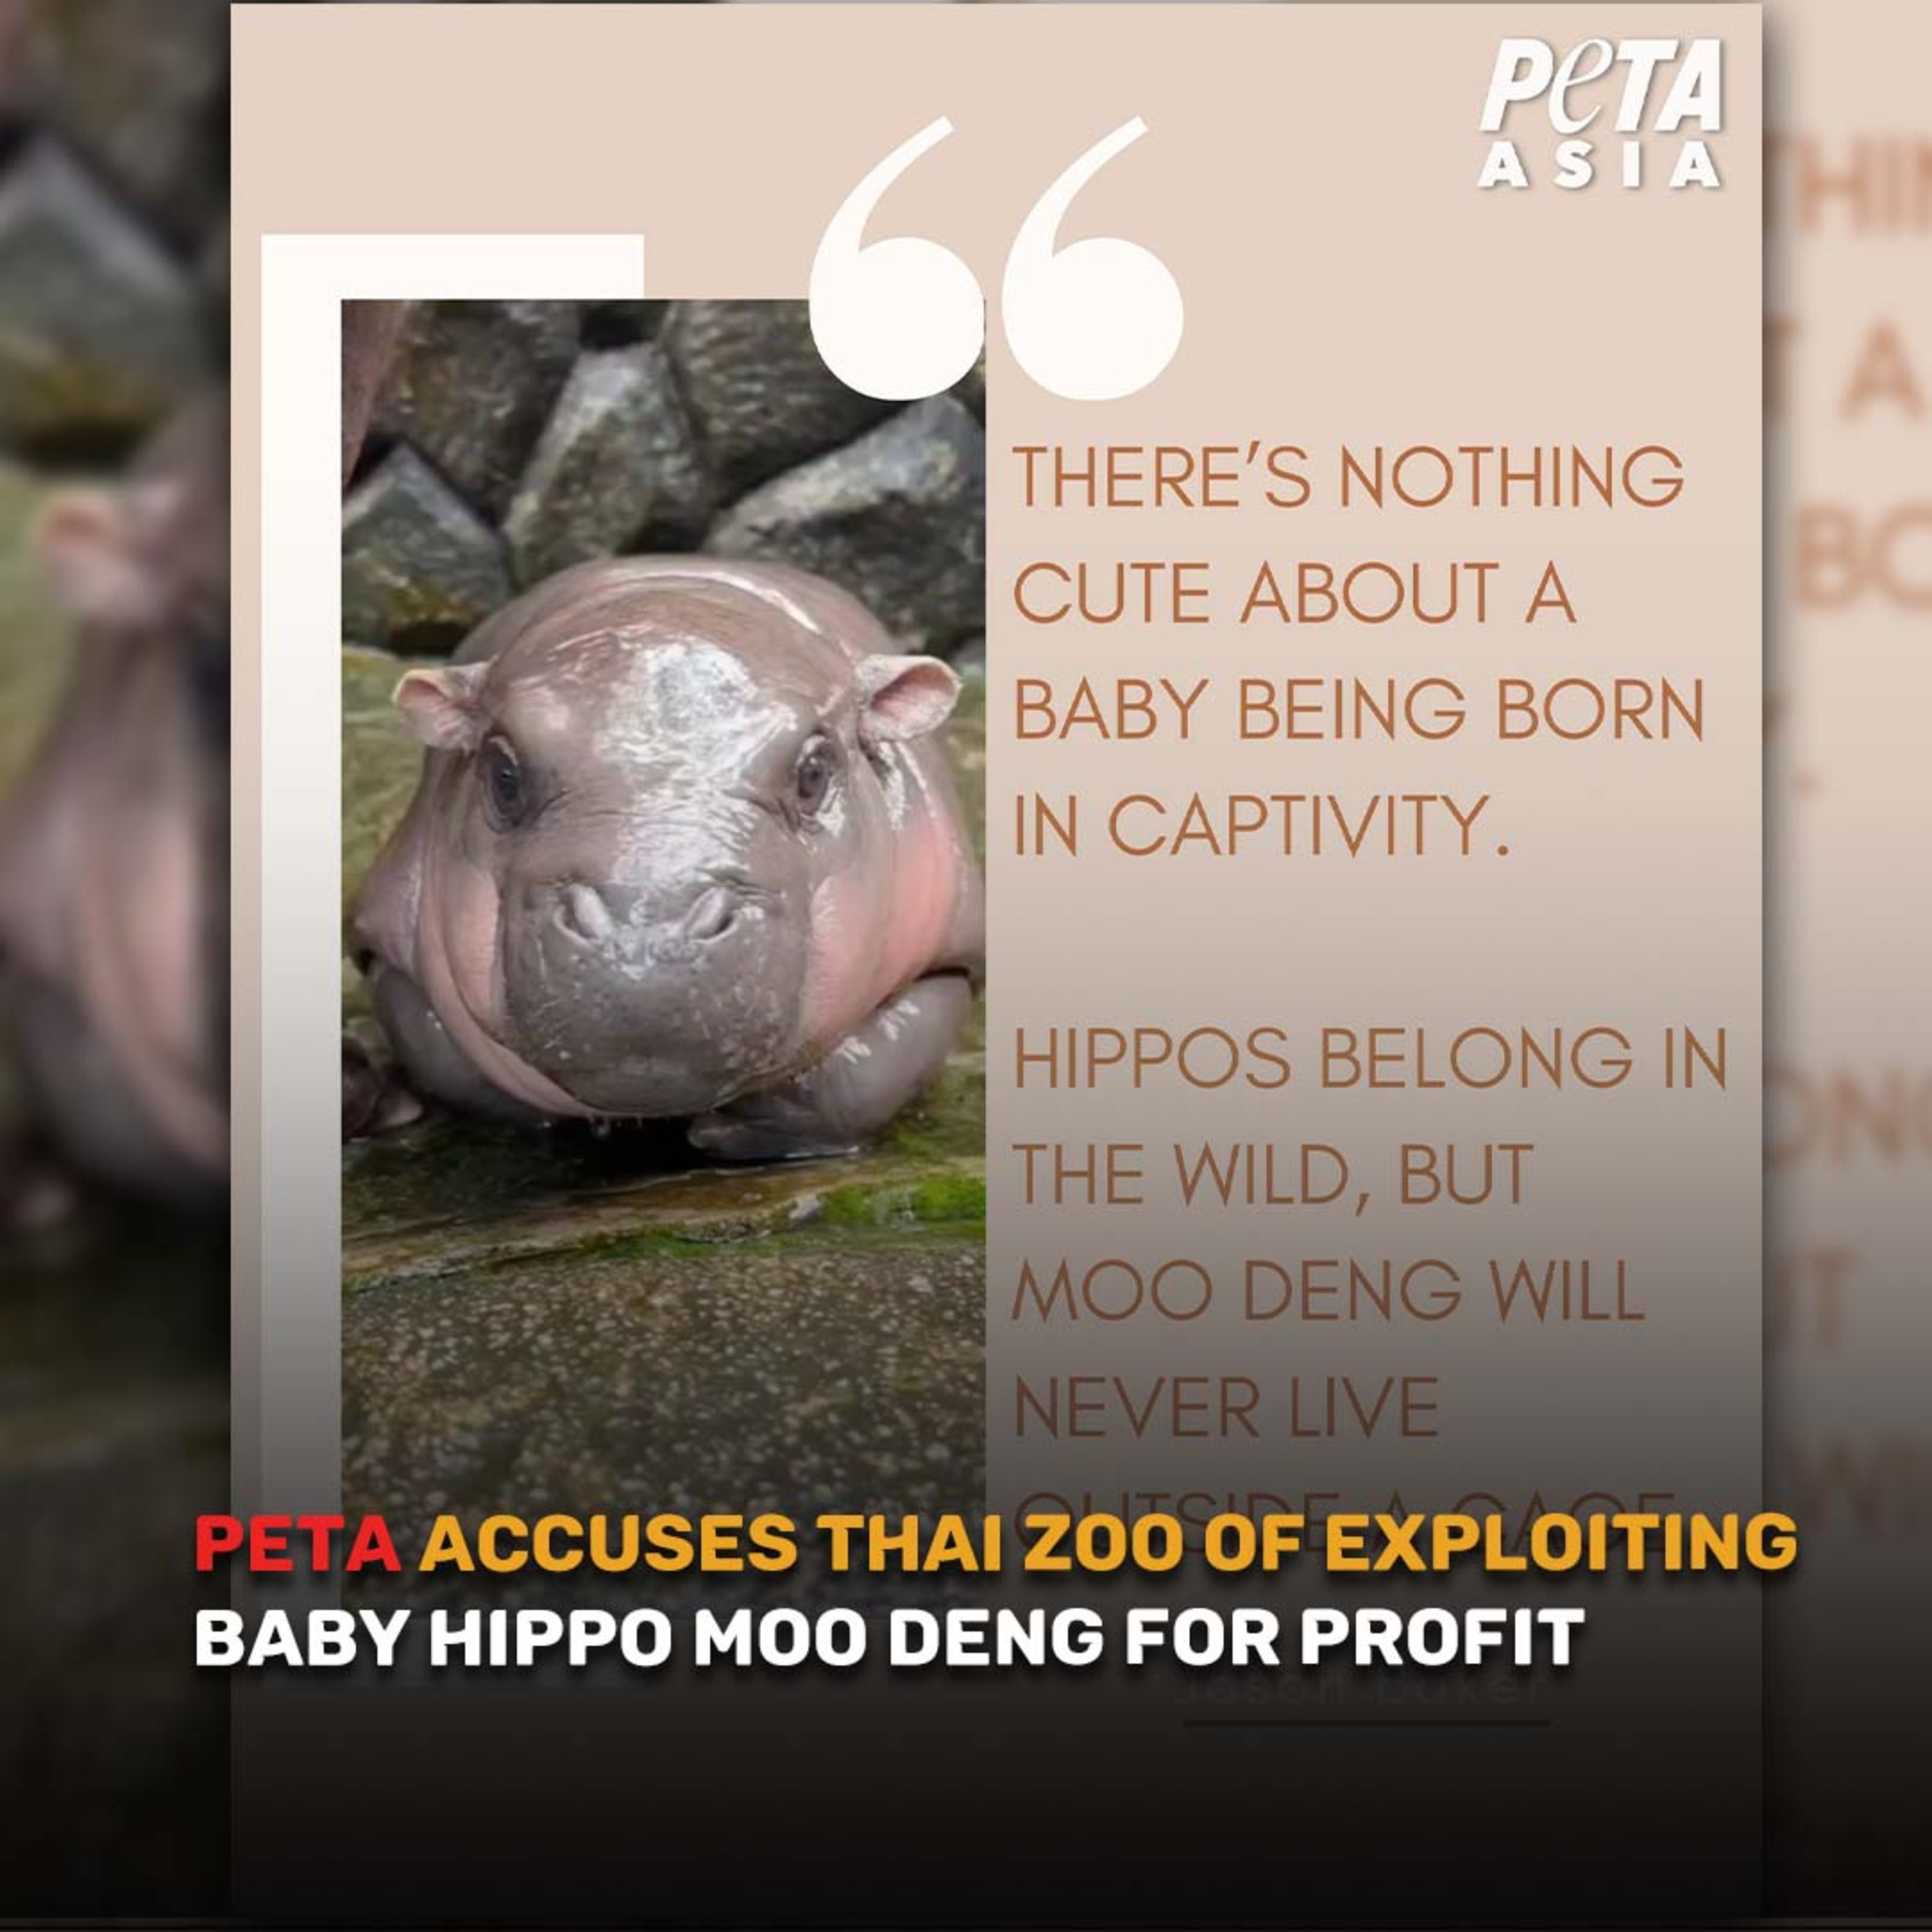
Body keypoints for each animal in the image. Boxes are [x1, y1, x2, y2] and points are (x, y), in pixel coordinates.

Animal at [351, 556, 983, 1160]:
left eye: (814, 772)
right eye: (503, 776)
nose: (643, 945)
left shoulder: (952, 951)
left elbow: (870, 1073)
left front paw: (741, 1126)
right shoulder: (386, 950)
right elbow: (446, 1059)